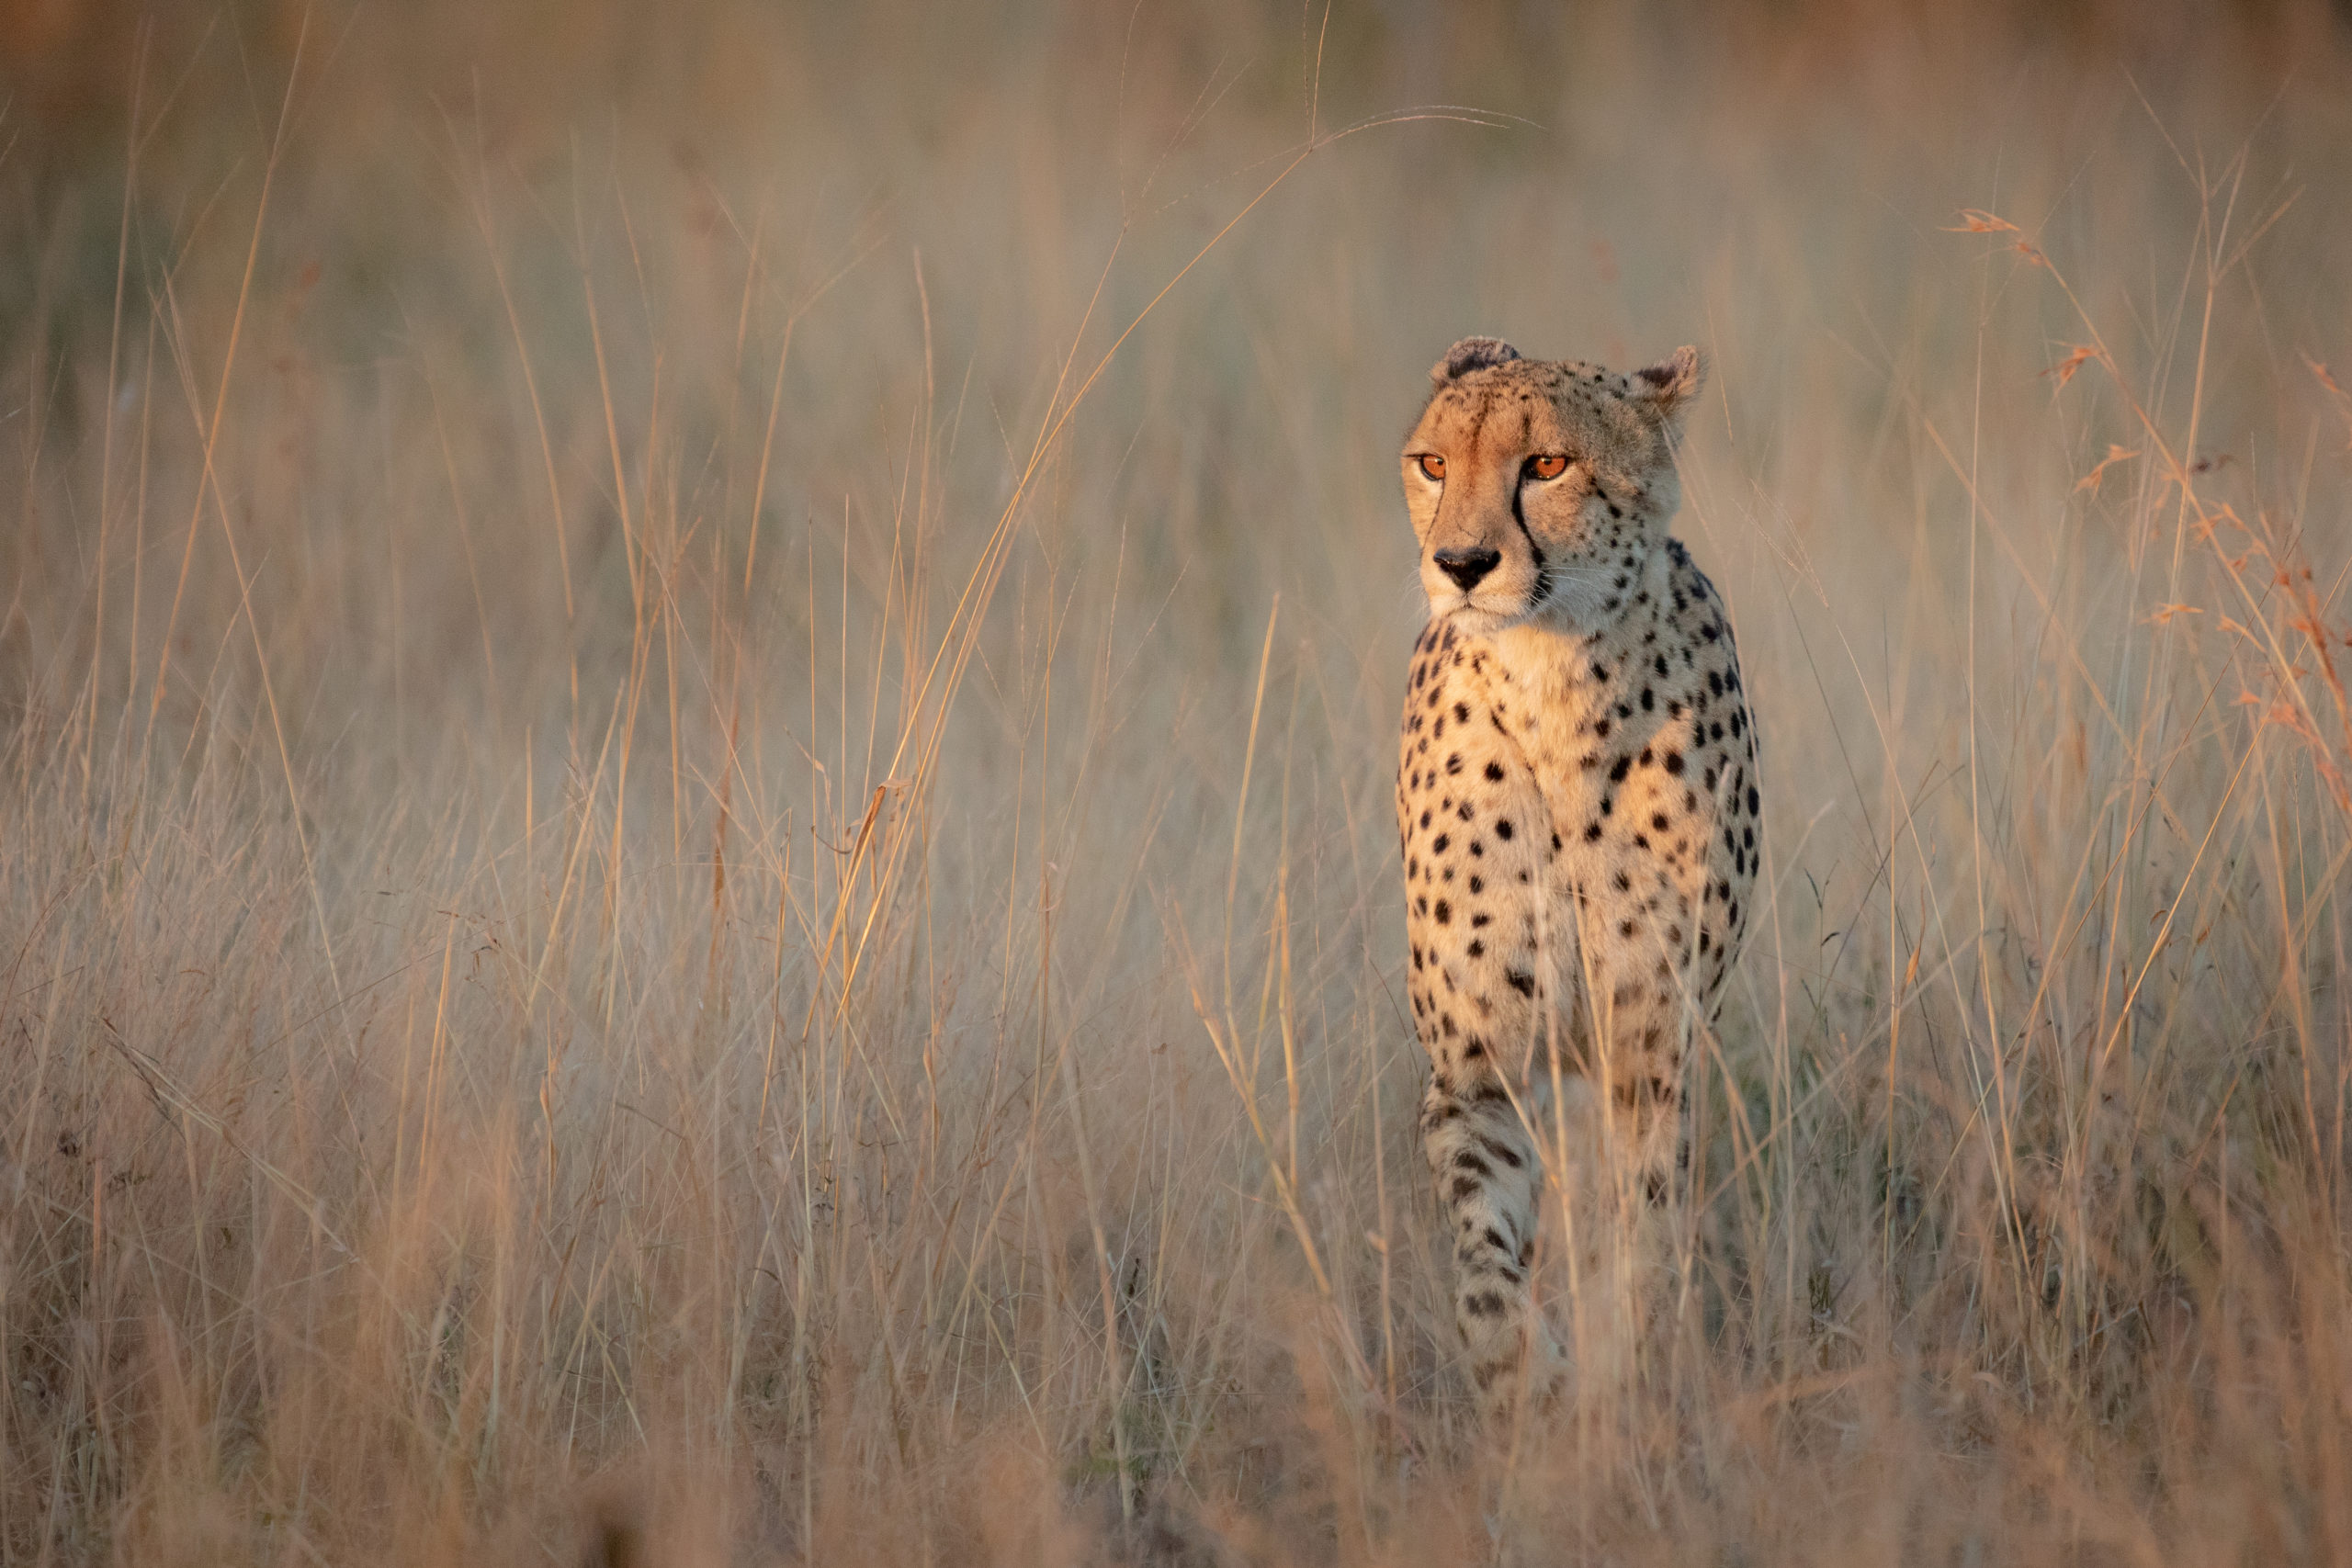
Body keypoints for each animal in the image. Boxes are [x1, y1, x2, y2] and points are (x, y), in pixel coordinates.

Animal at [1393, 336, 1760, 1425]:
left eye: (1546, 465)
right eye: (1434, 465)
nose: (1461, 565)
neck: (1554, 685)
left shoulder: (1651, 1052)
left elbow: (1638, 1238)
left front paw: (1619, 1383)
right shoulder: (1480, 1072)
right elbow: (1484, 1263)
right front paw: (1526, 1383)